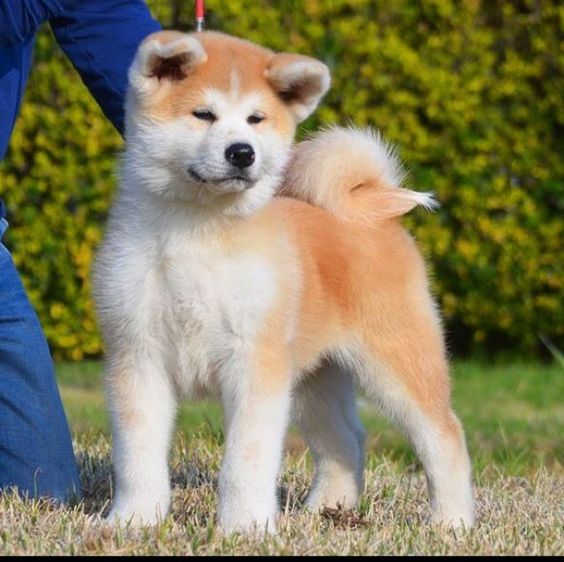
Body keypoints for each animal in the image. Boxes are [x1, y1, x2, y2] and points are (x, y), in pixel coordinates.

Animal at [93, 29, 476, 528]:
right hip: (314, 379)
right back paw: (328, 509)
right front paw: (133, 521)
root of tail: (371, 209)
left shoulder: (255, 362)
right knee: (345, 439)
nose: (242, 152)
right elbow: (138, 457)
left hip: (397, 361)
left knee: (444, 435)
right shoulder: (138, 357)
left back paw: (453, 522)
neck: (197, 232)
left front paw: (245, 528)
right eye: (203, 114)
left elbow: (245, 461)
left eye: (256, 119)